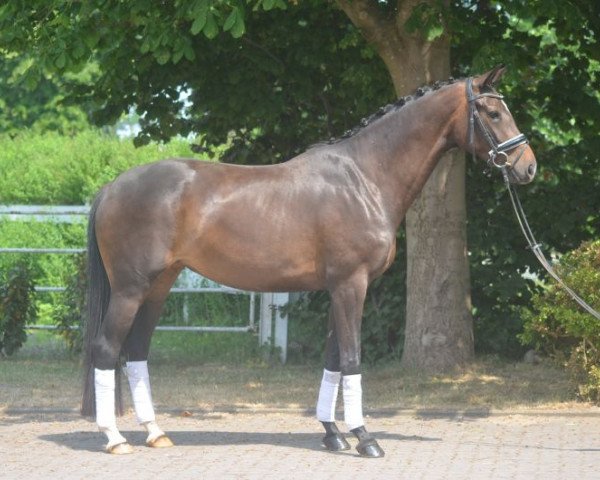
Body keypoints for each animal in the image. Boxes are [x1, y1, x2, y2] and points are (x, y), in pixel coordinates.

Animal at [79, 65, 536, 456]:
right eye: (493, 112)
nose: (528, 167)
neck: (364, 178)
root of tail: (111, 188)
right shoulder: (351, 284)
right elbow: (351, 358)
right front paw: (365, 438)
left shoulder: (339, 288)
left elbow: (333, 359)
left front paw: (333, 434)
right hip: (130, 289)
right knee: (105, 350)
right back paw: (114, 438)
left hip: (159, 287)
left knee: (136, 352)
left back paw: (155, 433)